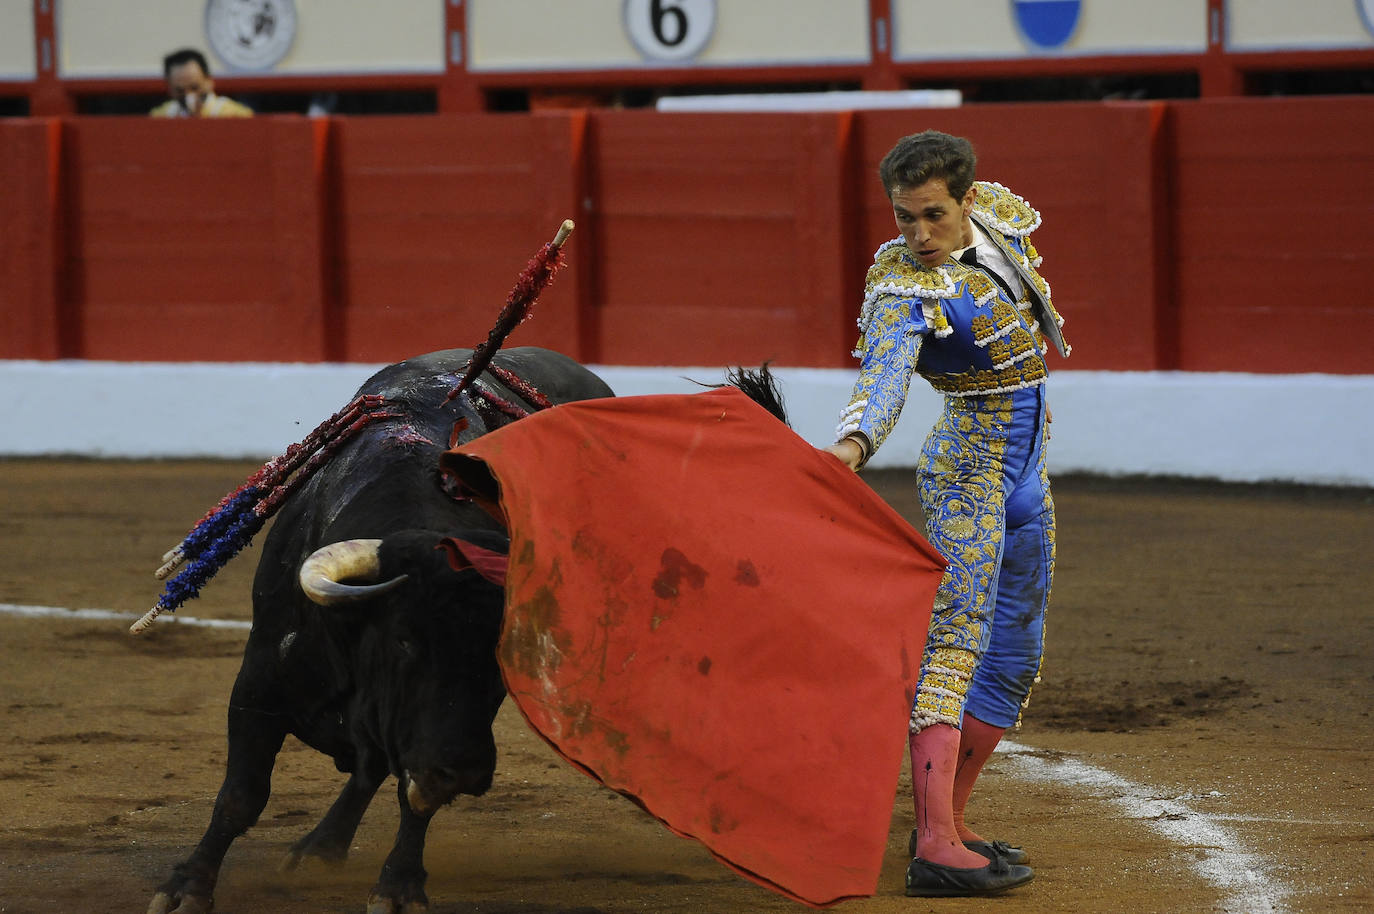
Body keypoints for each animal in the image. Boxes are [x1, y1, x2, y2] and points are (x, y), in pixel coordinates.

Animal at [146, 343, 612, 912]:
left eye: (496, 654)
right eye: (405, 639)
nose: (468, 771)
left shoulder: (438, 726)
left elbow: (416, 790)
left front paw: (399, 885)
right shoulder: (260, 680)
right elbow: (242, 794)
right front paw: (186, 886)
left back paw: (323, 846)